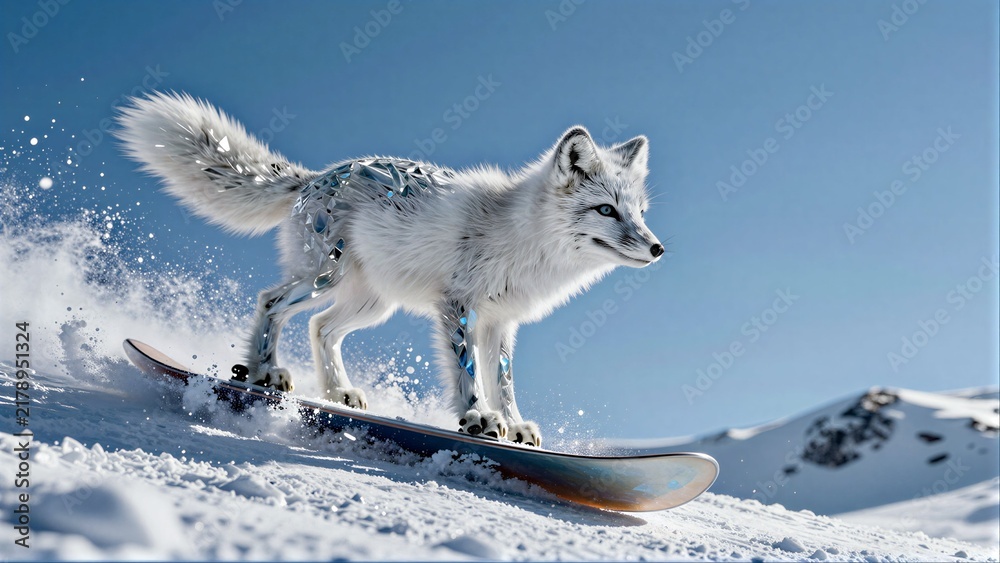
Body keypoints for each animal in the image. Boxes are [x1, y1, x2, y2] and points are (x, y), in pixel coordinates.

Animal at [115, 92, 663, 447]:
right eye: (606, 211)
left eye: (639, 212)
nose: (658, 249)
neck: (522, 237)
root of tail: (314, 177)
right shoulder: (458, 307)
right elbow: (469, 373)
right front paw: (477, 417)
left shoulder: (501, 323)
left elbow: (504, 381)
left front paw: (515, 424)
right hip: (324, 280)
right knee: (272, 302)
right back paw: (264, 373)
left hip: (372, 303)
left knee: (321, 328)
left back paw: (337, 394)